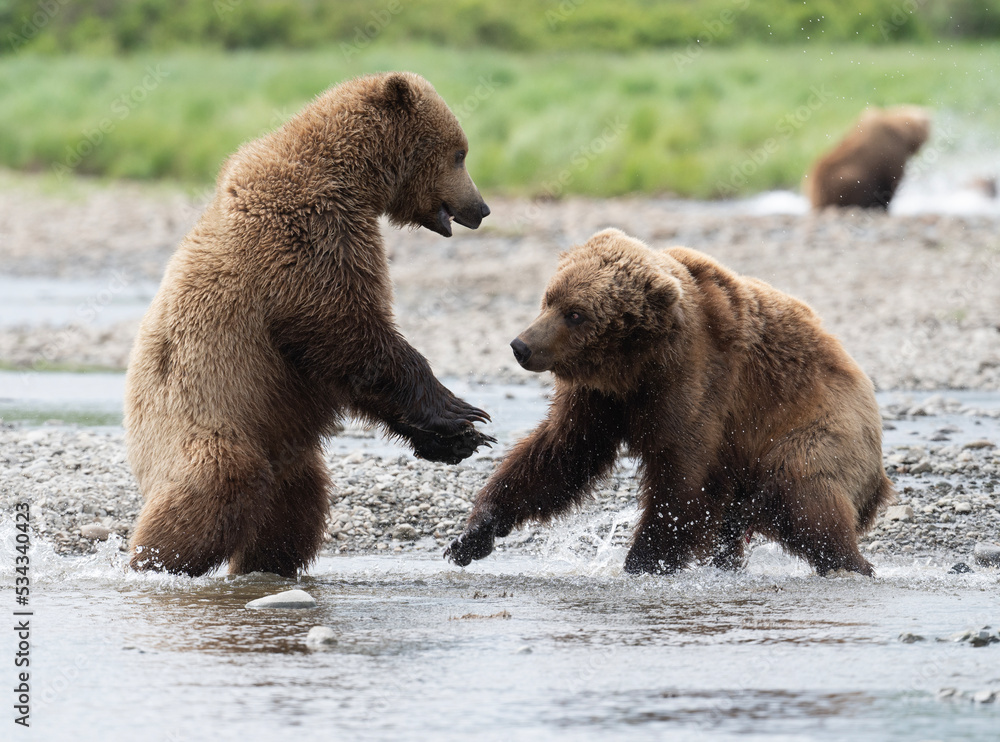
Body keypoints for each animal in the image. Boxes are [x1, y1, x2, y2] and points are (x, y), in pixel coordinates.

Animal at [126, 72, 496, 580]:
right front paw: (464, 413)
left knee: (295, 506)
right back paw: (154, 562)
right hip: (197, 420)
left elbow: (348, 365)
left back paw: (267, 565)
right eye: (460, 153)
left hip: (284, 444)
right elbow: (349, 335)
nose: (481, 208)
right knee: (216, 484)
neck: (353, 182)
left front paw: (459, 440)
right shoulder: (305, 238)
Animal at [450, 230, 896, 580]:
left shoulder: (693, 380)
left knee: (804, 491)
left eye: (575, 313)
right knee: (737, 517)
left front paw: (643, 560)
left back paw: (848, 563)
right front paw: (472, 535)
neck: (634, 364)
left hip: (819, 427)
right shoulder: (600, 397)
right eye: (549, 299)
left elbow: (680, 473)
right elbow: (563, 452)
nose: (521, 345)